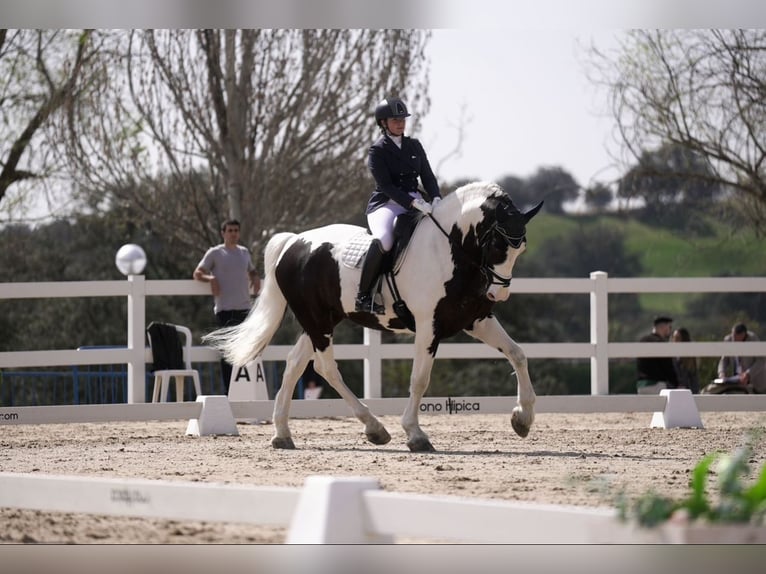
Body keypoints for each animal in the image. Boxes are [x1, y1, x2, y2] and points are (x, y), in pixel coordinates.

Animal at [201, 182, 544, 452]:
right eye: (497, 243)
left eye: (522, 248)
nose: (498, 295)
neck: (449, 251)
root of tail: (294, 242)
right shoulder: (428, 327)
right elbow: (420, 379)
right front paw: (416, 435)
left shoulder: (477, 320)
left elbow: (518, 354)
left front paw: (522, 418)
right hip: (318, 321)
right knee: (326, 368)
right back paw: (375, 428)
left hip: (321, 321)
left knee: (296, 363)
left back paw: (283, 434)